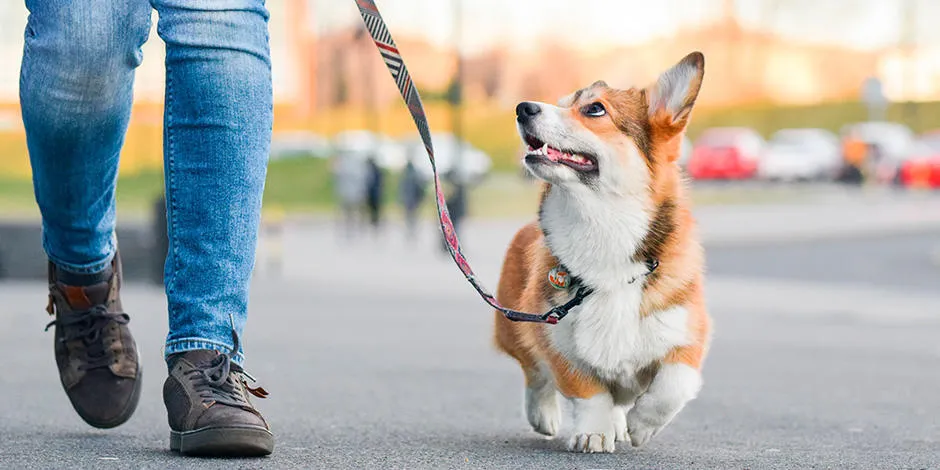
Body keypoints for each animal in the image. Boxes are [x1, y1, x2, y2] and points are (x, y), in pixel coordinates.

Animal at [496, 51, 708, 452]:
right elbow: (588, 392)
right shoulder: (556, 337)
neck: (603, 227)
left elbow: (673, 385)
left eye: (594, 109)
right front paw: (593, 432)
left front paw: (641, 425)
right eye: (562, 103)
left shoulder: (688, 334)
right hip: (514, 326)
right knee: (535, 374)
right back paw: (544, 415)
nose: (522, 108)